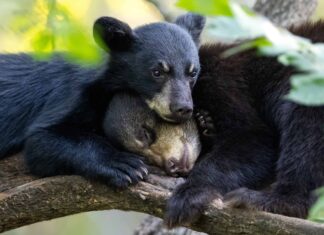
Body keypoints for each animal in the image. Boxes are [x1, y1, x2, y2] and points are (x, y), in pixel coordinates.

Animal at [0, 14, 205, 187]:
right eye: (157, 72)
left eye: (192, 72)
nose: (183, 108)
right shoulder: (72, 94)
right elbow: (41, 139)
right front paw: (124, 165)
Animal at [166, 21, 324, 227]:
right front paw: (206, 126)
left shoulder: (218, 82)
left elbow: (254, 139)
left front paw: (190, 194)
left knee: (307, 132)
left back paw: (271, 201)